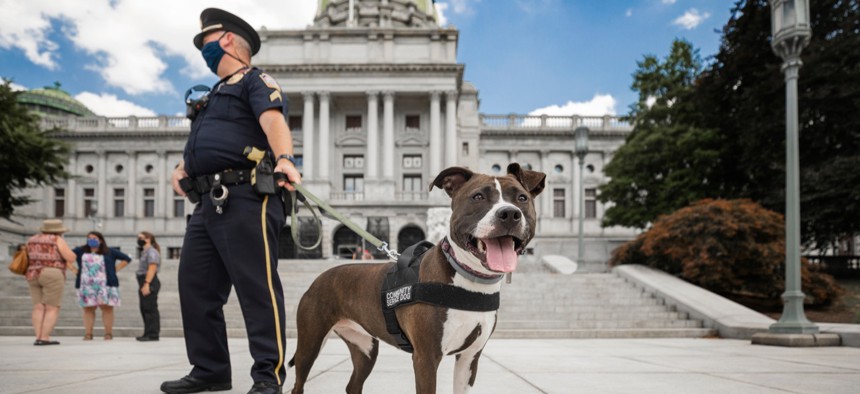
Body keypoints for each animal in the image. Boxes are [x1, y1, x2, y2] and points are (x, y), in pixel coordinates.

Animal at [288, 163, 544, 394]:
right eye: (478, 196)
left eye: (521, 198)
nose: (509, 213)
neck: (470, 280)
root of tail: (321, 276)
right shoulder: (426, 359)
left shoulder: (469, 358)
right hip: (310, 343)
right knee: (298, 383)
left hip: (365, 347)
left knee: (353, 385)